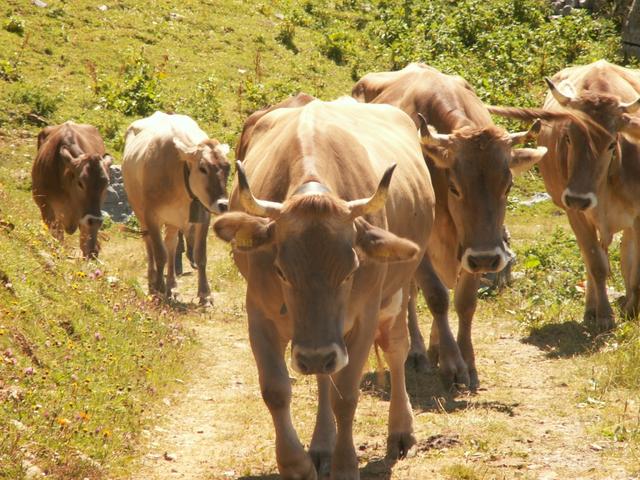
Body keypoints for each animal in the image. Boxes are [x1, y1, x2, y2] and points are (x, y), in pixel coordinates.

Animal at [215, 95, 436, 478]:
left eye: (351, 270)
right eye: (281, 271)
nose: (316, 355)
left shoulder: (363, 317)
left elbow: (345, 395)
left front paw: (346, 464)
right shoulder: (259, 313)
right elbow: (276, 390)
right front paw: (296, 464)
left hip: (396, 292)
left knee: (396, 349)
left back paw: (400, 431)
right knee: (324, 375)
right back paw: (321, 444)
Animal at [352, 62, 548, 388]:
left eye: (508, 185)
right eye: (455, 187)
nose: (487, 258)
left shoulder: (468, 249)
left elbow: (465, 301)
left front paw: (466, 359)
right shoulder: (420, 246)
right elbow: (436, 295)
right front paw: (453, 364)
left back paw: (433, 348)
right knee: (409, 295)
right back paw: (419, 351)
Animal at [488, 61, 640, 330]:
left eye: (611, 143)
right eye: (568, 137)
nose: (579, 198)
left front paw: (631, 310)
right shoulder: (575, 215)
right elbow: (596, 264)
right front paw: (605, 315)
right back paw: (592, 309)